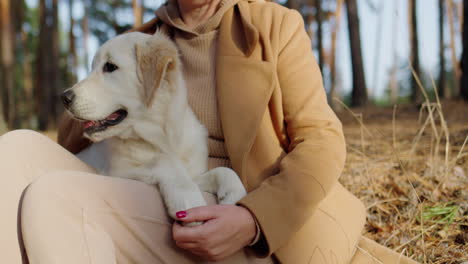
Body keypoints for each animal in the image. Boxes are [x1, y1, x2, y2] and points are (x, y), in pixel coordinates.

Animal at [60, 31, 247, 221]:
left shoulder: (194, 174)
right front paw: (188, 199)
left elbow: (223, 170)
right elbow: (164, 161)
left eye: (110, 67)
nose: (64, 98)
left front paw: (233, 194)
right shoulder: (116, 172)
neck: (161, 137)